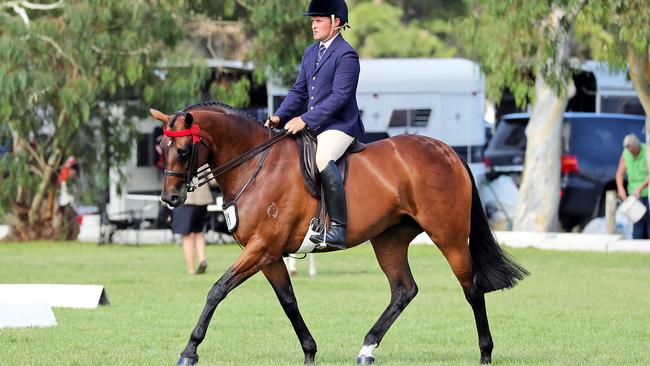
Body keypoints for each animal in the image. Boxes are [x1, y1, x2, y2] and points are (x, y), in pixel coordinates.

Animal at [152, 101, 528, 366]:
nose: (170, 199)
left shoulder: (261, 248)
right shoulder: (268, 254)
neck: (255, 166)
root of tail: (447, 151)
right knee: (403, 290)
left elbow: (217, 290)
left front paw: (189, 351)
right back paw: (367, 349)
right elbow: (288, 301)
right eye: (160, 149)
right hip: (389, 239)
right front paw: (309, 351)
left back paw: (485, 352)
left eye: (183, 150)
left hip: (448, 236)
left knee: (471, 288)